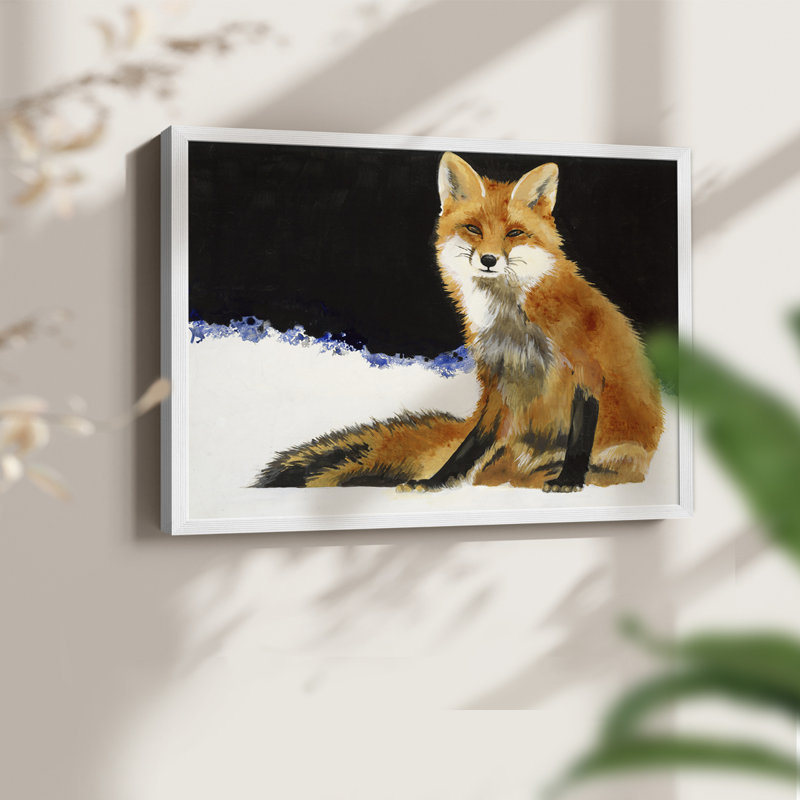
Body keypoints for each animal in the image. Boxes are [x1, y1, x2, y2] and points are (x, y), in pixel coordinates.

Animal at [252, 152, 664, 492]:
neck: (513, 324)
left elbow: (580, 435)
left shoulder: (586, 370)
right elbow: (470, 445)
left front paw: (570, 479)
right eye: (474, 229)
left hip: (622, 452)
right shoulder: (497, 382)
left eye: (515, 233)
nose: (489, 260)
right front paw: (438, 481)